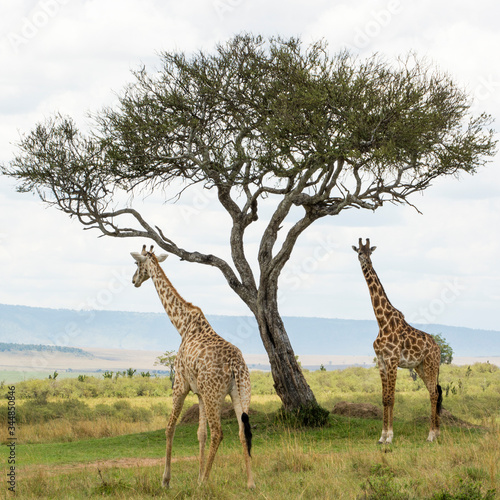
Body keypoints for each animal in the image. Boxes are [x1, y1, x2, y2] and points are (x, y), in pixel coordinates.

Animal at [130, 246, 254, 488]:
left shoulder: (180, 383)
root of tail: (236, 365)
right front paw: (197, 475)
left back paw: (205, 482)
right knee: (242, 431)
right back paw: (250, 483)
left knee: (219, 432)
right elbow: (200, 434)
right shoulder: (199, 393)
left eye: (137, 264)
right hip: (241, 392)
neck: (182, 324)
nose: (134, 281)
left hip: (215, 394)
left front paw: (166, 480)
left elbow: (170, 427)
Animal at [352, 240, 442, 444]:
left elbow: (391, 398)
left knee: (434, 394)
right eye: (359, 252)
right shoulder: (381, 361)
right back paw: (436, 432)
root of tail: (438, 348)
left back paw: (431, 435)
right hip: (420, 367)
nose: (366, 261)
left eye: (370, 252)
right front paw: (382, 436)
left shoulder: (392, 360)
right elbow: (384, 398)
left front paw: (390, 437)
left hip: (431, 365)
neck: (382, 321)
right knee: (434, 392)